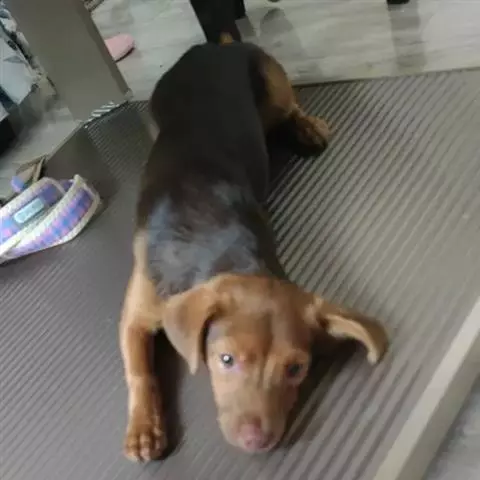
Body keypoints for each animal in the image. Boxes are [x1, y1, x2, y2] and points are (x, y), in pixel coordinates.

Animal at [120, 40, 388, 461]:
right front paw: (144, 429)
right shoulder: (137, 311)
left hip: (273, 85)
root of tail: (213, 45)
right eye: (225, 360)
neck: (222, 250)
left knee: (290, 107)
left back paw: (307, 127)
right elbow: (139, 371)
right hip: (156, 112)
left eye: (295, 369)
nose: (256, 441)